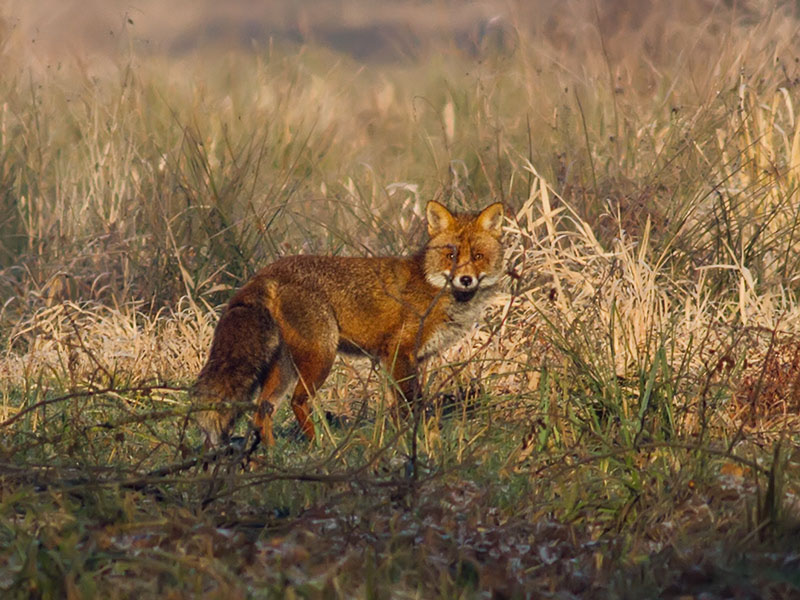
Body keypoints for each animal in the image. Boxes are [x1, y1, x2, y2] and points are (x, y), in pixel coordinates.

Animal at [193, 199, 504, 448]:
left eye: (478, 256)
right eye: (451, 256)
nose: (466, 279)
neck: (432, 287)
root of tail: (266, 271)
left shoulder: (409, 359)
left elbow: (398, 408)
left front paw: (402, 442)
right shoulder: (398, 352)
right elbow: (413, 404)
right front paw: (422, 438)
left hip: (285, 364)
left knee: (263, 408)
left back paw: (268, 454)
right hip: (321, 356)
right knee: (296, 401)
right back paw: (318, 446)